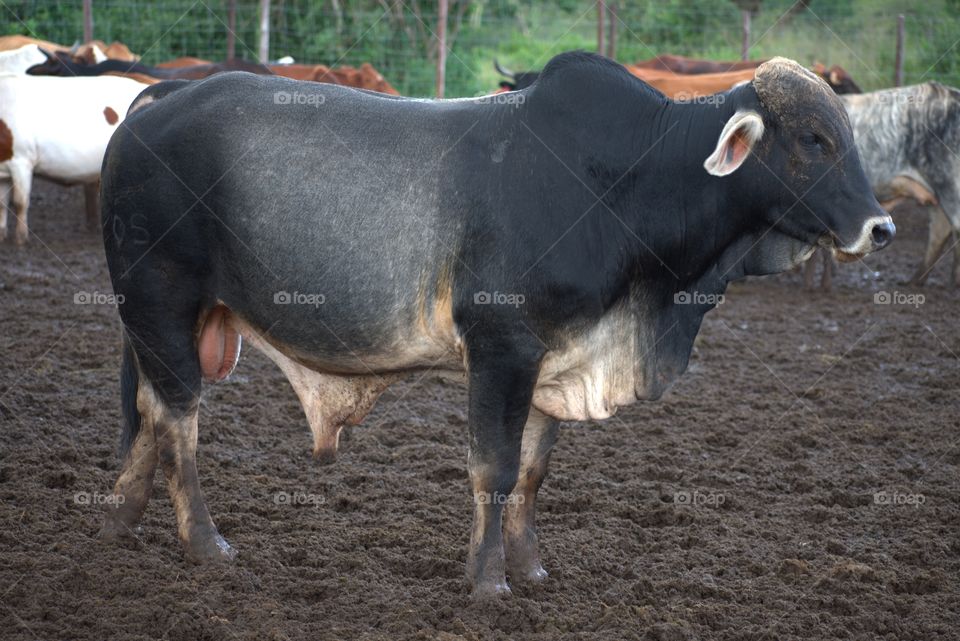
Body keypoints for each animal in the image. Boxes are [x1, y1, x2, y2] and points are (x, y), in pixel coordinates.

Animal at [98, 52, 892, 596]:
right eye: (814, 139)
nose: (881, 227)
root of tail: (158, 99)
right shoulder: (501, 348)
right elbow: (495, 466)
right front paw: (486, 581)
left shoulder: (555, 360)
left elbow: (533, 472)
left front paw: (531, 567)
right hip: (160, 301)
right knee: (177, 418)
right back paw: (205, 543)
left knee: (147, 412)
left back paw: (123, 519)